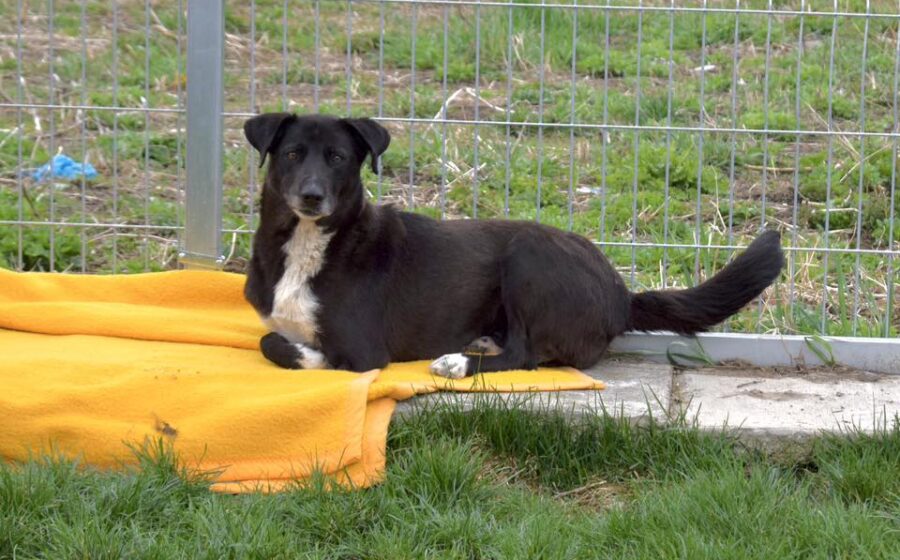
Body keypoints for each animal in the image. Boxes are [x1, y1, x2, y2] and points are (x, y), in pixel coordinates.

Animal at [242, 113, 785, 378]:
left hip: (528, 254)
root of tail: (620, 292)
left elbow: (296, 350)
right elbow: (269, 338)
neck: (311, 244)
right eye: (292, 154)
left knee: (526, 354)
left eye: (337, 158)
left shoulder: (364, 350)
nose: (312, 196)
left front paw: (311, 356)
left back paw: (459, 362)